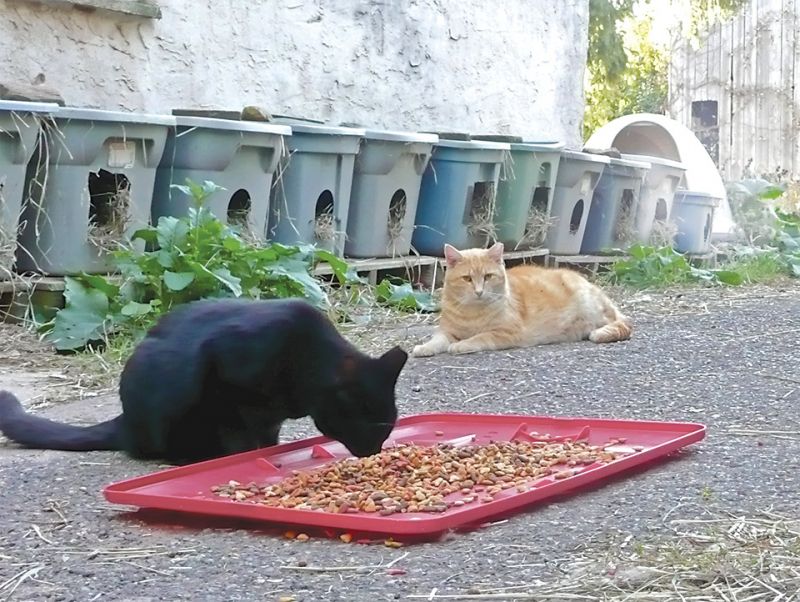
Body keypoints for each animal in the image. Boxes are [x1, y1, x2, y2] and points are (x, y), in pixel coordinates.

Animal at [0, 298, 410, 462]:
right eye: (373, 427)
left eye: (388, 429)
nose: (375, 451)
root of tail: (124, 421)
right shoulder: (224, 373)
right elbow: (239, 433)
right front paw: (244, 456)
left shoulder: (269, 418)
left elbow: (265, 436)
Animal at [412, 241, 632, 354]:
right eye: (467, 279)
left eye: (488, 277)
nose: (479, 291)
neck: (472, 313)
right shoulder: (447, 331)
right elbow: (437, 340)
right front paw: (424, 348)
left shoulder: (506, 332)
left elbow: (480, 337)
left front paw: (461, 345)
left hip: (593, 308)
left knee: (622, 324)